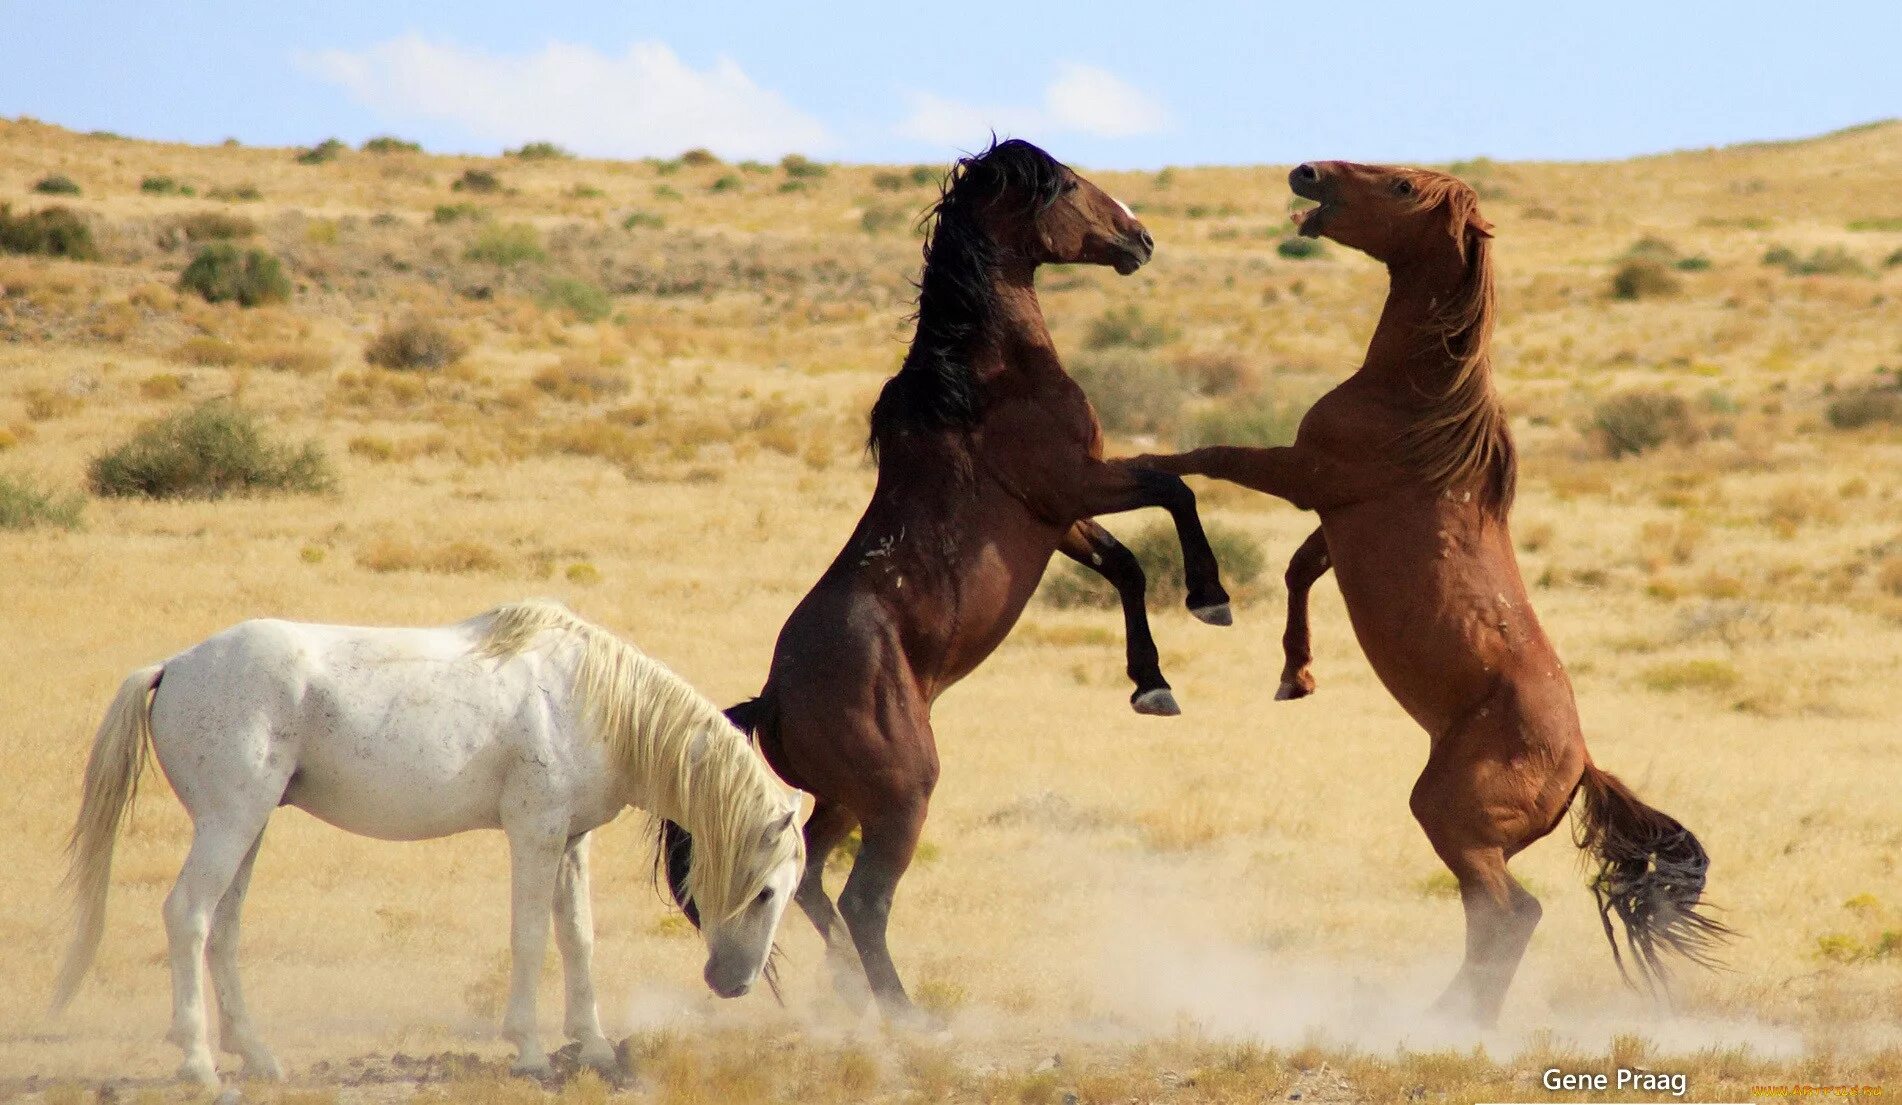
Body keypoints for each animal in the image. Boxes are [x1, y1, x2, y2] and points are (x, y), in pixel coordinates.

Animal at [50, 597, 810, 1080]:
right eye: (766, 891)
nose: (733, 983)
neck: (591, 699)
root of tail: (175, 664)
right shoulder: (534, 835)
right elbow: (531, 938)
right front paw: (529, 1050)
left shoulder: (571, 842)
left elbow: (578, 939)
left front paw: (592, 1047)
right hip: (229, 823)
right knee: (189, 916)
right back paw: (199, 1061)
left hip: (248, 828)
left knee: (224, 928)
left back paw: (258, 1056)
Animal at [658, 139, 1232, 1027]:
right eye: (1067, 185)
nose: (1139, 238)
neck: (984, 378)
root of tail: (771, 701)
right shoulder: (1076, 484)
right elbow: (1175, 489)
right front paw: (1210, 598)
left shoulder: (1059, 518)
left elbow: (1128, 564)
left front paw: (1152, 683)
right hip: (902, 794)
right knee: (860, 899)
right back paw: (905, 1013)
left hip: (844, 799)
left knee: (811, 879)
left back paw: (852, 996)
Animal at [1133, 159, 1734, 1019]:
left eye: (1404, 187)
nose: (1306, 171)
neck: (1415, 402)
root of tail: (1580, 764)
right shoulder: (1336, 522)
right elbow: (1297, 569)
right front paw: (1294, 675)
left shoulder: (1303, 474)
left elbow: (1208, 455)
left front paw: (1135, 460)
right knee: (1493, 915)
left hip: (1451, 817)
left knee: (1512, 911)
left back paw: (1451, 1017)